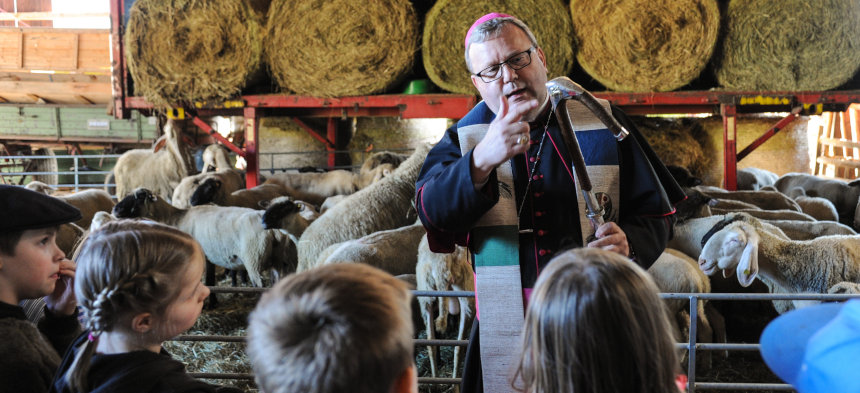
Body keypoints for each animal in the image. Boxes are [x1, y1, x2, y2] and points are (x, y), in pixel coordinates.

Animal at [112, 188, 304, 286]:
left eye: (139, 197)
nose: (115, 209)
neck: (175, 218)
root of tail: (275, 231)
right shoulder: (209, 254)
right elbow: (211, 280)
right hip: (283, 262)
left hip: (254, 259)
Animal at [414, 233, 474, 380]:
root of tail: (441, 263)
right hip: (467, 297)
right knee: (459, 347)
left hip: (425, 296)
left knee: (431, 344)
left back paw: (435, 378)